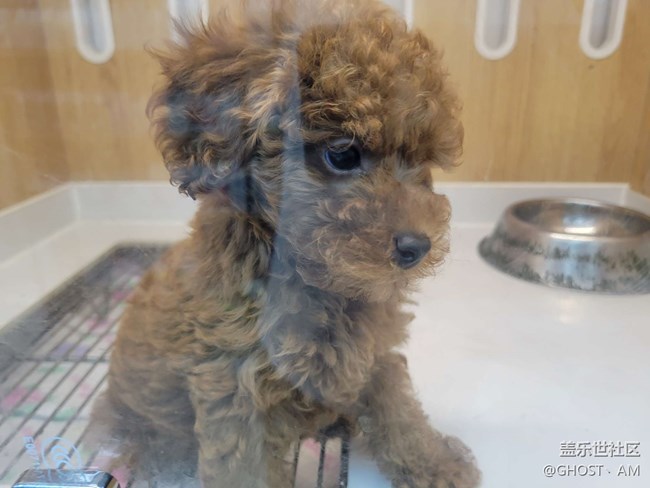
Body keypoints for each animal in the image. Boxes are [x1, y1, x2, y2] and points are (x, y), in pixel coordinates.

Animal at [102, 0, 480, 486]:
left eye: (423, 162)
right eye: (342, 154)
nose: (418, 247)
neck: (318, 281)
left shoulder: (371, 353)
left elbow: (397, 407)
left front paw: (434, 463)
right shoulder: (234, 387)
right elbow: (242, 469)